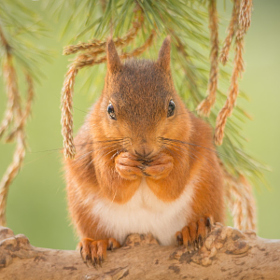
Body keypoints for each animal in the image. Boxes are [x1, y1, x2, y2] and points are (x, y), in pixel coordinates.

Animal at [64, 37, 224, 266]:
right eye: (110, 110)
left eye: (172, 107)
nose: (143, 149)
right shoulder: (95, 148)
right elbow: (110, 184)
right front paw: (123, 164)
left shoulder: (188, 140)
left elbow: (174, 184)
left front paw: (164, 165)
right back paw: (97, 243)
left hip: (208, 190)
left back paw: (195, 227)